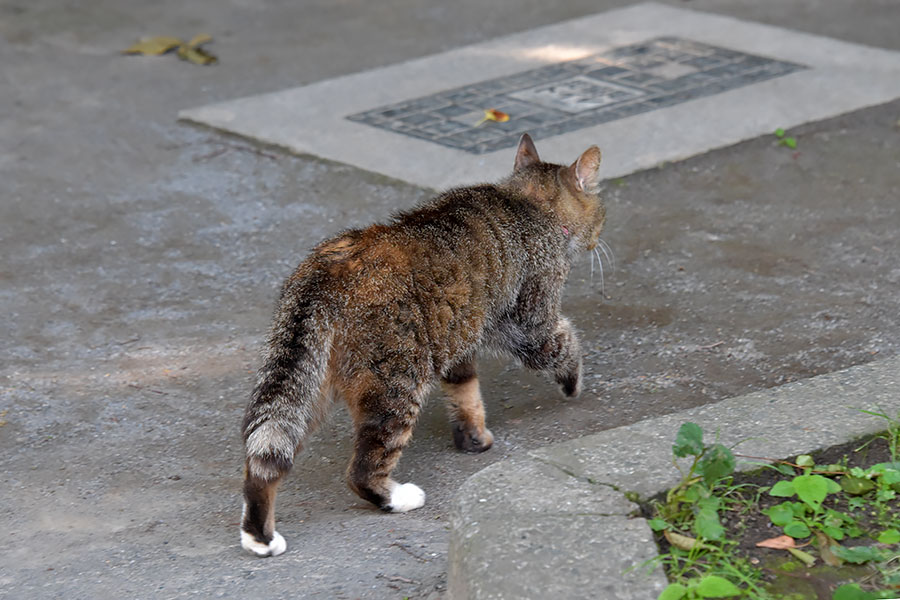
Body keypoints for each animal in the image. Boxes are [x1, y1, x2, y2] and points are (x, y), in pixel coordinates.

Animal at [239, 134, 604, 556]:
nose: (599, 238)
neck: (526, 202)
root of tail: (323, 273)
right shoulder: (527, 322)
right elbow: (563, 342)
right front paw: (573, 381)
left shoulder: (460, 338)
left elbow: (465, 393)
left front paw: (473, 438)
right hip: (397, 383)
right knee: (361, 470)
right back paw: (396, 498)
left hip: (306, 388)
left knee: (264, 457)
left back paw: (257, 535)